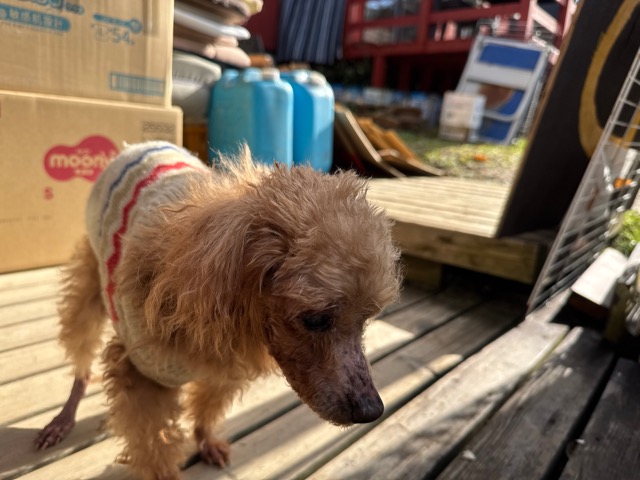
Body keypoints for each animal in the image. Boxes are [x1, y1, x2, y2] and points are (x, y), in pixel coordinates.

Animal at [34, 142, 401, 479]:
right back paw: (63, 417)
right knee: (81, 356)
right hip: (88, 284)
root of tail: (136, 146)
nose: (371, 410)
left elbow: (208, 405)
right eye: (315, 319)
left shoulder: (225, 366)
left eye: (366, 320)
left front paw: (206, 440)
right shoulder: (141, 375)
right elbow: (153, 445)